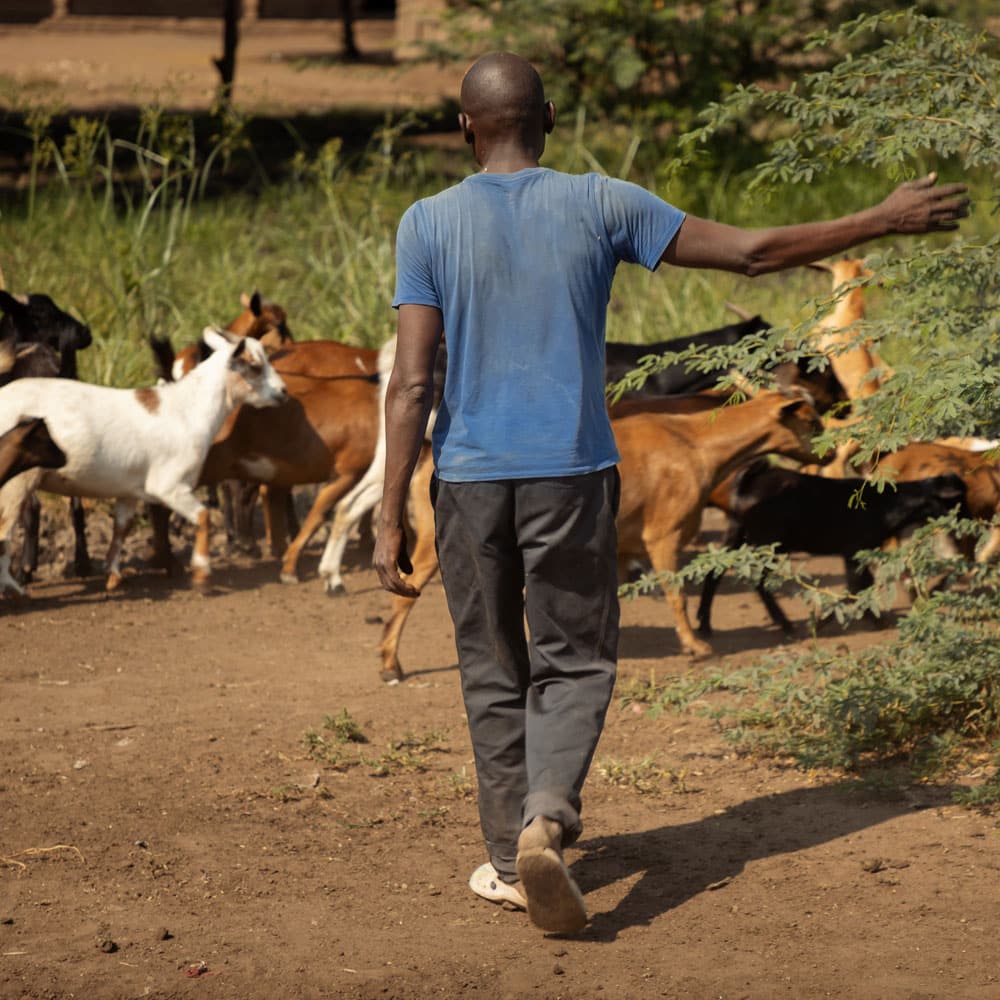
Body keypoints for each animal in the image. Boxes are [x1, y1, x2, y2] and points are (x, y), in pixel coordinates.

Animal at [0, 328, 290, 592]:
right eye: (255, 366)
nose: (284, 391)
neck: (187, 410)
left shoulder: (129, 490)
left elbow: (121, 527)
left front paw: (113, 576)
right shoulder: (169, 486)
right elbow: (204, 515)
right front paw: (201, 574)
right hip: (16, 480)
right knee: (5, 528)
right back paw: (13, 585)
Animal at [696, 464, 968, 636]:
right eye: (957, 500)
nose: (968, 522)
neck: (888, 504)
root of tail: (749, 483)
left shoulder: (859, 554)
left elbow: (860, 587)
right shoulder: (854, 551)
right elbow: (856, 588)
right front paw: (872, 621)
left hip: (737, 534)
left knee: (713, 573)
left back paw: (705, 624)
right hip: (768, 543)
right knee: (759, 580)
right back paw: (785, 624)